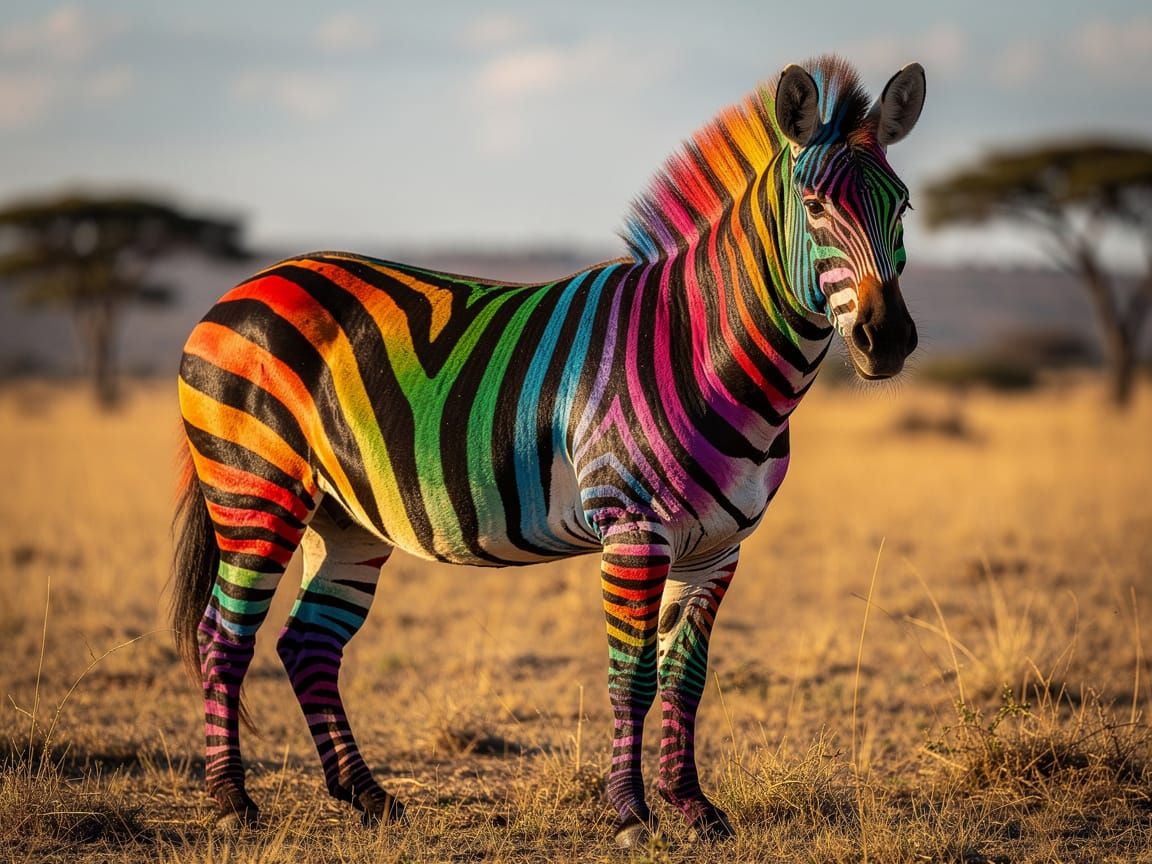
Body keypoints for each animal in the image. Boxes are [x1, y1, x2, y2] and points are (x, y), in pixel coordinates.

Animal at [171, 55, 925, 847]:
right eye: (814, 207)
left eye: (903, 207)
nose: (887, 340)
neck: (703, 347)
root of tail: (243, 287)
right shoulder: (633, 529)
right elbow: (632, 677)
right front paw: (630, 814)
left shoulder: (719, 548)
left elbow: (686, 678)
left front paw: (694, 807)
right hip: (255, 490)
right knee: (224, 635)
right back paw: (233, 802)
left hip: (344, 516)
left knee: (308, 644)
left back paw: (369, 795)